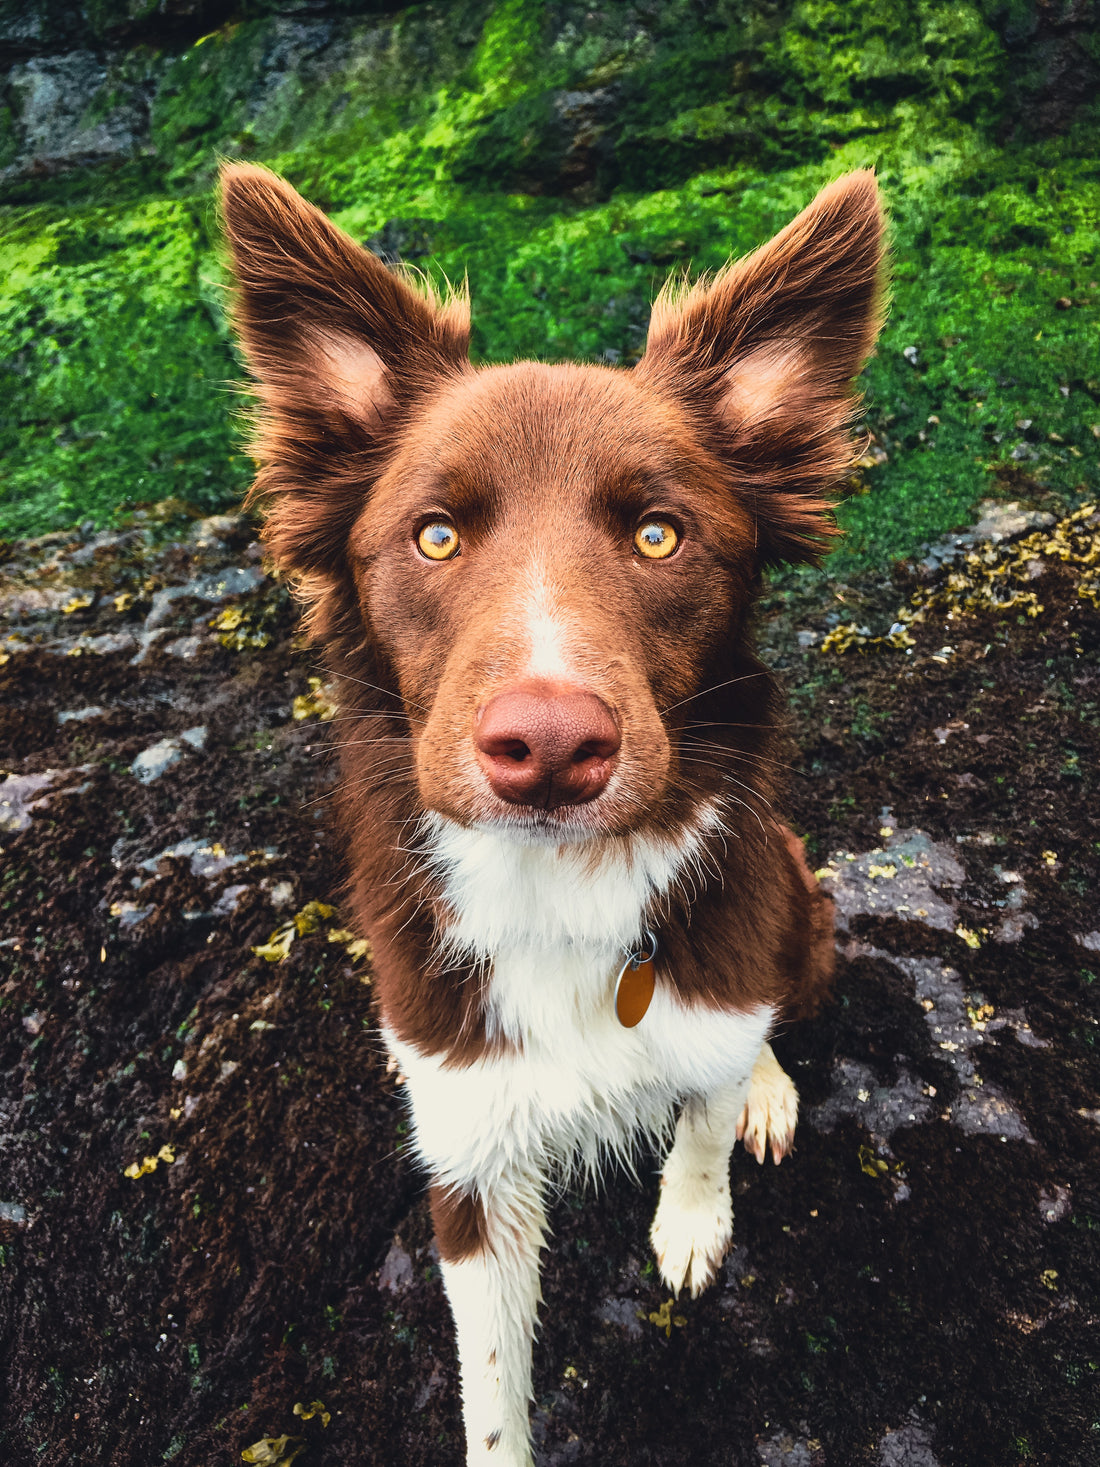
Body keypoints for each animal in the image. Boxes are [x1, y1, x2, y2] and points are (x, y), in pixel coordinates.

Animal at [221, 163, 885, 1467]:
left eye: (657, 533)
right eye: (433, 534)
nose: (548, 749)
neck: (565, 893)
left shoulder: (709, 1000)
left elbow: (698, 1114)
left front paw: (693, 1215)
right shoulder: (464, 1143)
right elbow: (492, 1386)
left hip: (795, 897)